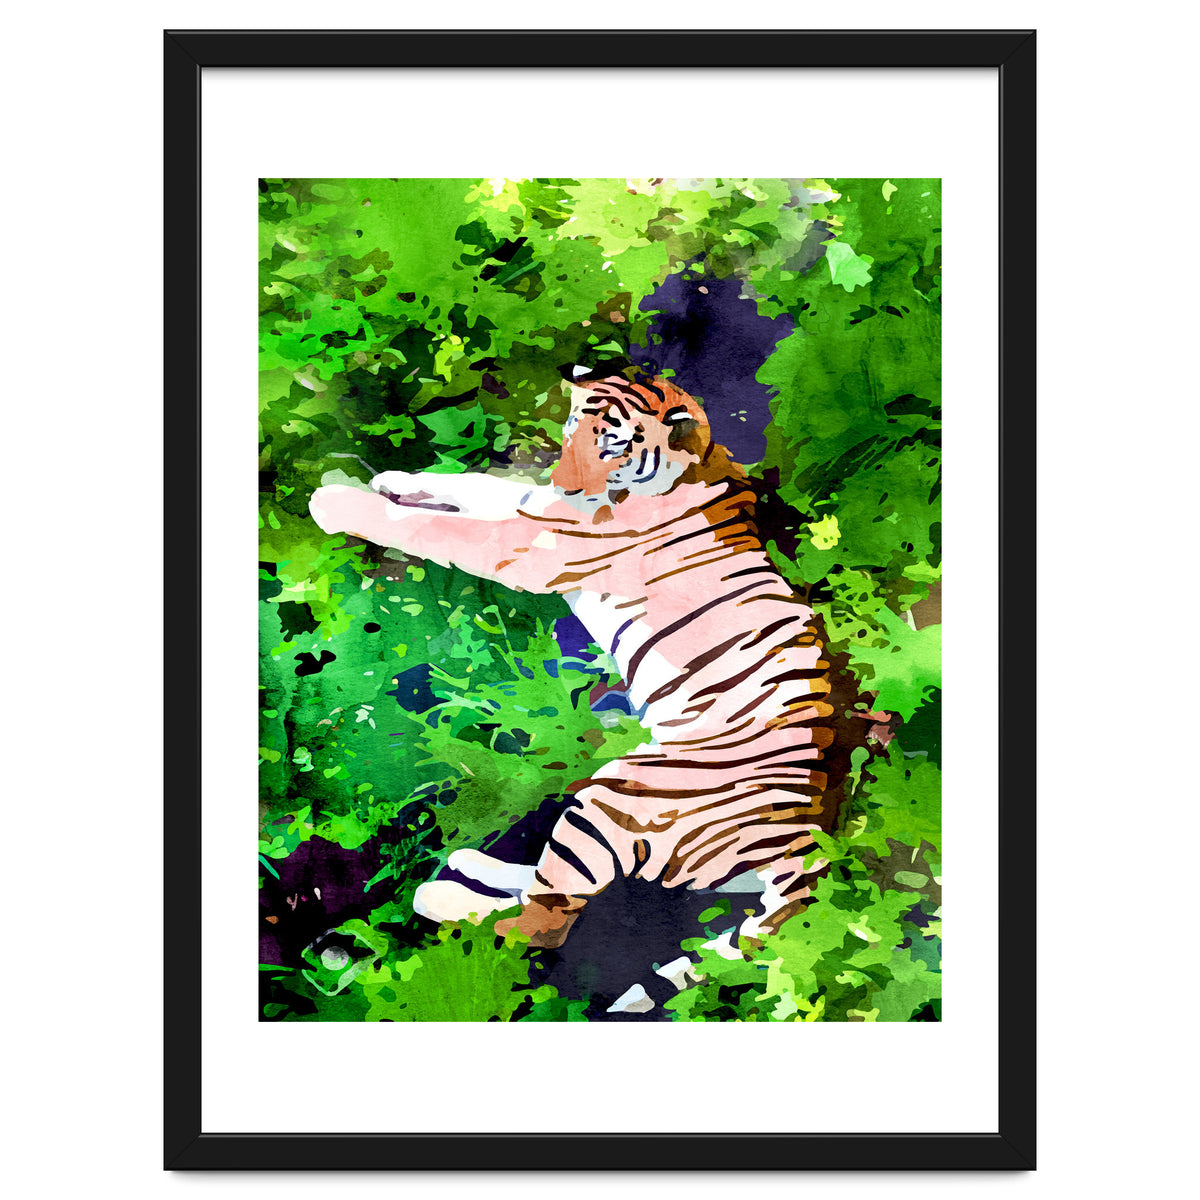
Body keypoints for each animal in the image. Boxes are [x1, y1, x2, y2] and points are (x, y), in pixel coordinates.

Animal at [309, 369, 863, 949]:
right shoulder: (534, 507)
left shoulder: (526, 543)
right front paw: (394, 478)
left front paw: (334, 501)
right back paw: (470, 862)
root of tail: (803, 842)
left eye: (613, 445)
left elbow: (426, 526)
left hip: (614, 798)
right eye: (573, 426)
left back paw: (438, 895)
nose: (567, 483)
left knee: (541, 922)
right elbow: (477, 485)